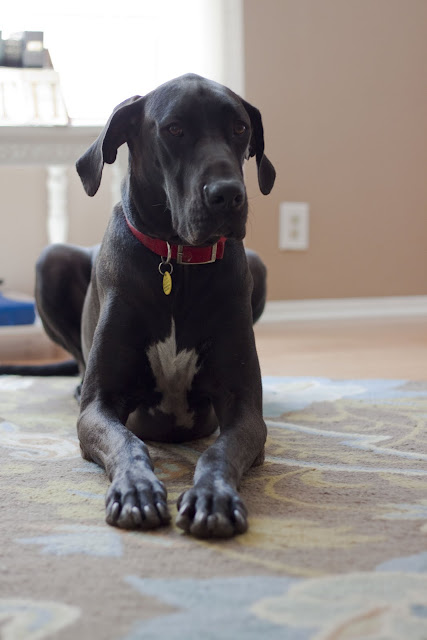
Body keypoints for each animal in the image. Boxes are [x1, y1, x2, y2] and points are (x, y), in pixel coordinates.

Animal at [32, 74, 275, 538]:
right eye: (174, 129)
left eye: (240, 128)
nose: (228, 195)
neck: (177, 263)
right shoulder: (99, 406)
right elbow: (128, 443)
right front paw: (137, 490)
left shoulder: (245, 410)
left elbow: (218, 452)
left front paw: (212, 498)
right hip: (50, 260)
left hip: (259, 266)